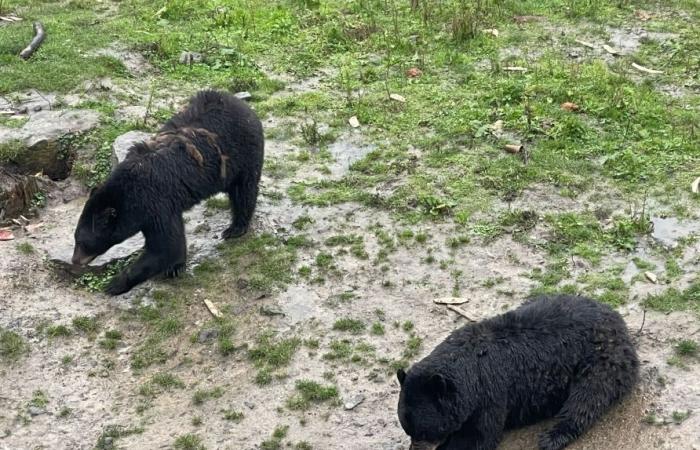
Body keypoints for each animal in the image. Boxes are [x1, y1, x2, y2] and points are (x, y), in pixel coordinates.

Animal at [72, 90, 262, 296]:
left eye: (83, 242)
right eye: (75, 238)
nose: (75, 261)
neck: (130, 192)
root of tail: (239, 102)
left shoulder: (157, 203)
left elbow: (165, 248)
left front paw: (115, 283)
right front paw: (175, 267)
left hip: (242, 155)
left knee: (244, 191)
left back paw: (235, 228)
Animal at [396, 296, 636, 450]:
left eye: (425, 432)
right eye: (407, 429)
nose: (416, 448)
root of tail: (619, 320)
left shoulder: (490, 394)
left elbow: (478, 436)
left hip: (600, 358)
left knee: (588, 397)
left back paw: (552, 437)